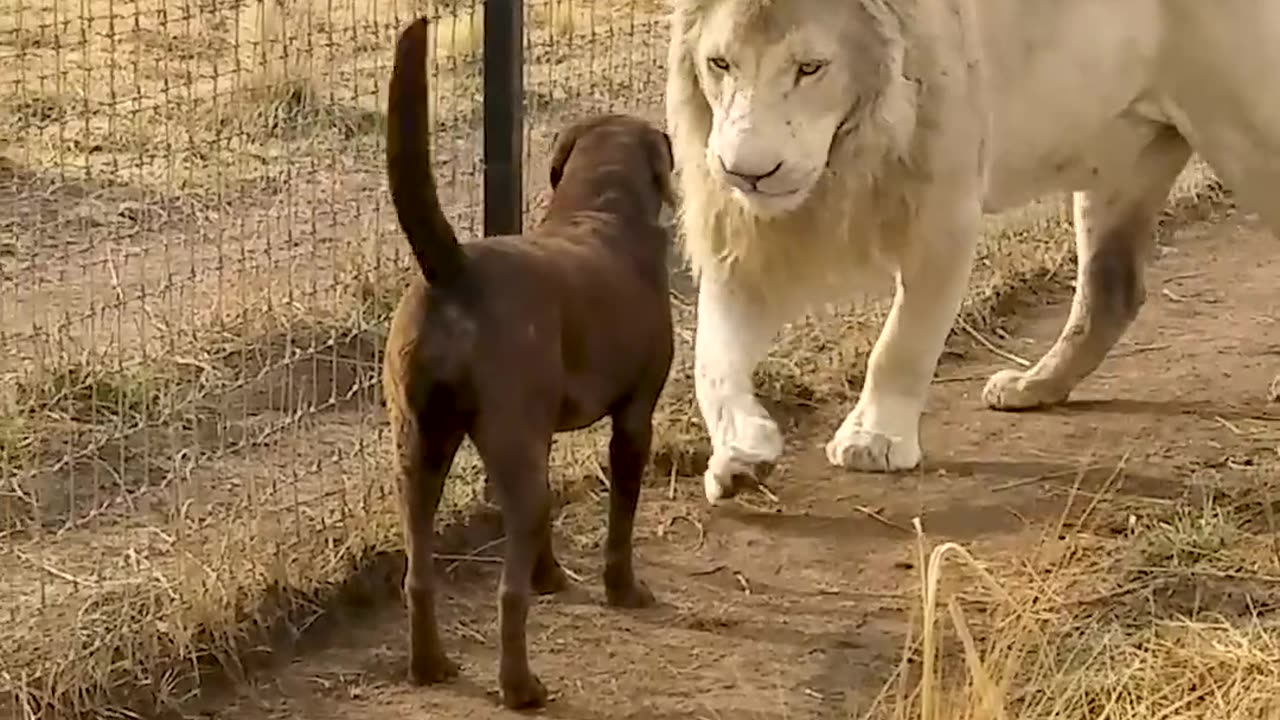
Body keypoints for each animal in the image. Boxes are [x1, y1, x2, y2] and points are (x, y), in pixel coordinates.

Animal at [381, 15, 675, 707]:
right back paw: (521, 687)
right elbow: (622, 518)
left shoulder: (541, 436)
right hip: (502, 450)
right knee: (507, 596)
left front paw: (552, 575)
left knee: (418, 574)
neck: (600, 206)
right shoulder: (635, 418)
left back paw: (430, 665)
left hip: (419, 450)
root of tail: (454, 270)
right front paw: (624, 590)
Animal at [670, 0, 1280, 502]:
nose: (747, 172)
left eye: (810, 67)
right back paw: (1033, 387)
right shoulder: (738, 244)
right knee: (1112, 293)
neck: (850, 155)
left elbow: (902, 343)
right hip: (1120, 161)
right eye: (720, 64)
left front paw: (873, 440)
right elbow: (712, 361)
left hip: (1250, 136)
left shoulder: (944, 211)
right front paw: (740, 453)